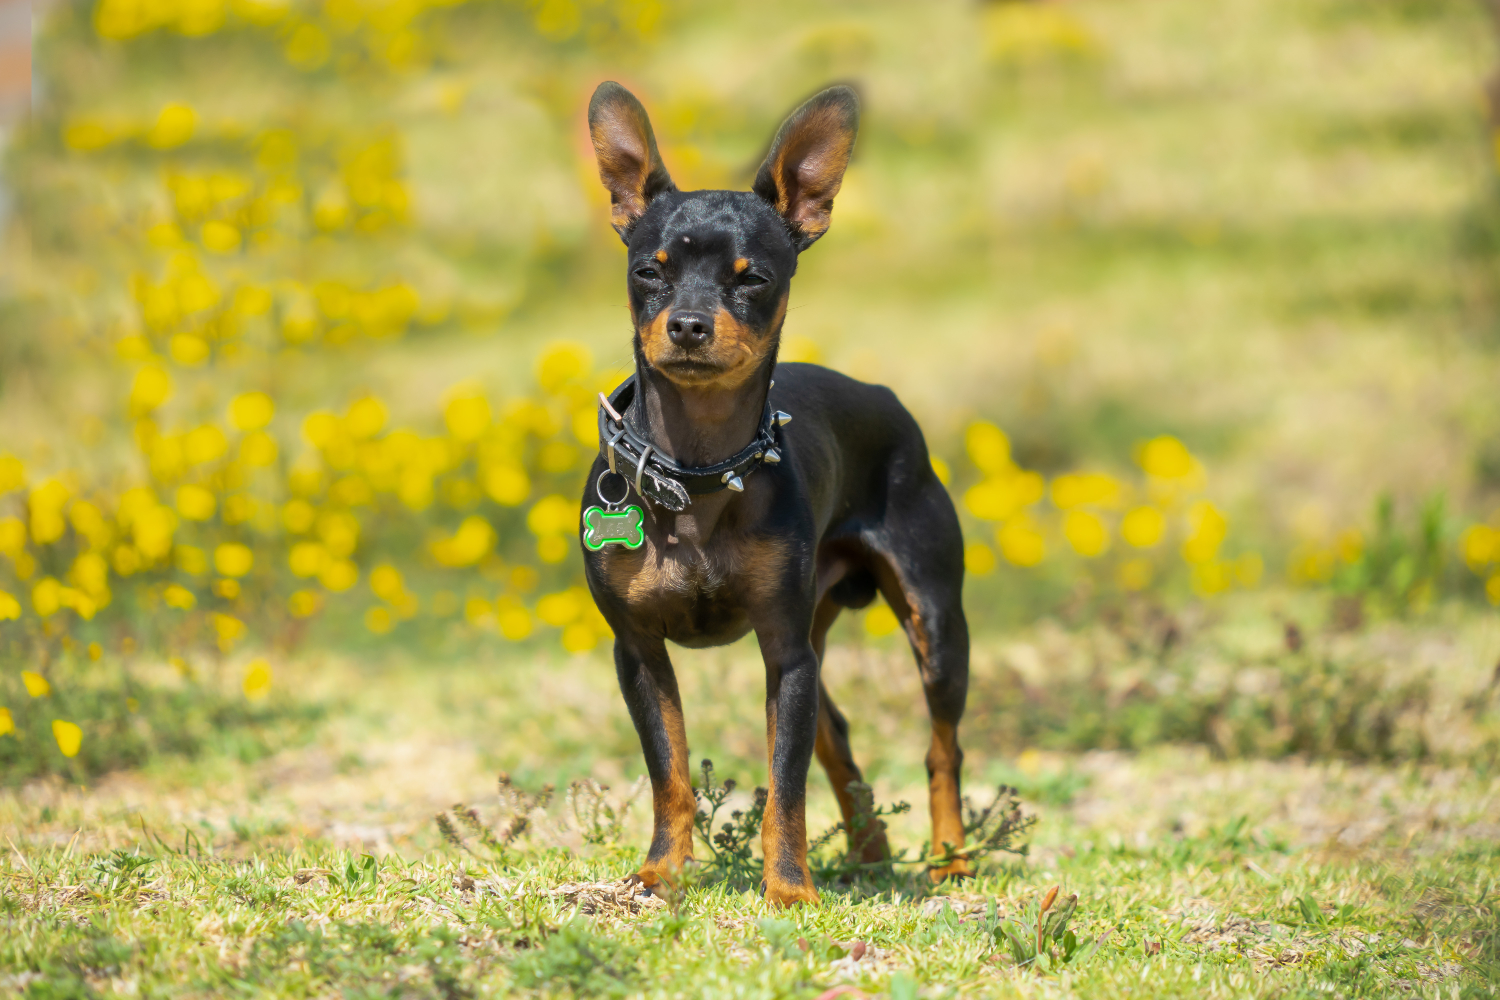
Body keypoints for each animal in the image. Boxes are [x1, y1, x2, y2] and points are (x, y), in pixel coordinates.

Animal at [573, 82, 972, 905]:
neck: (696, 469)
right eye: (648, 272)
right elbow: (670, 773)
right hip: (816, 643)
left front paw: (788, 890)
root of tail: (884, 398)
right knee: (838, 736)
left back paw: (949, 858)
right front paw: (660, 874)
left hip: (934, 627)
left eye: (753, 278)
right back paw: (869, 852)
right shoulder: (639, 651)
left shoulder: (784, 655)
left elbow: (784, 784)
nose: (689, 325)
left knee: (940, 748)